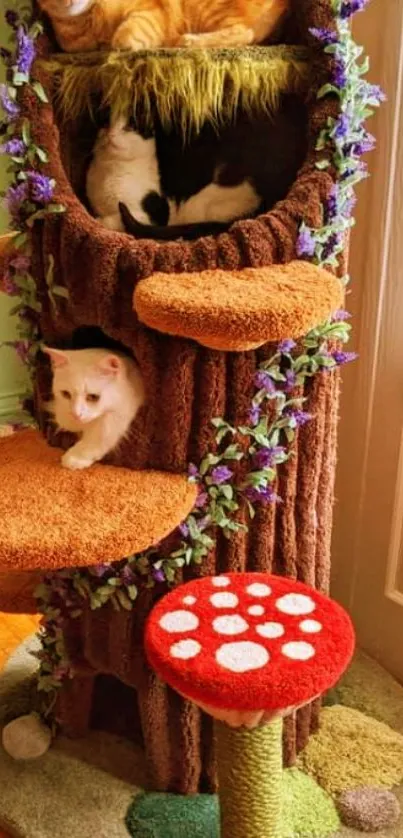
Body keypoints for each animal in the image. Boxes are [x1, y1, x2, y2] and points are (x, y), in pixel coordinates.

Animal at [86, 100, 306, 243]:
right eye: (105, 122)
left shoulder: (152, 213)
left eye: (129, 126)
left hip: (202, 204)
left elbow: (117, 219)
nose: (110, 133)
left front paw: (99, 221)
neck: (109, 169)